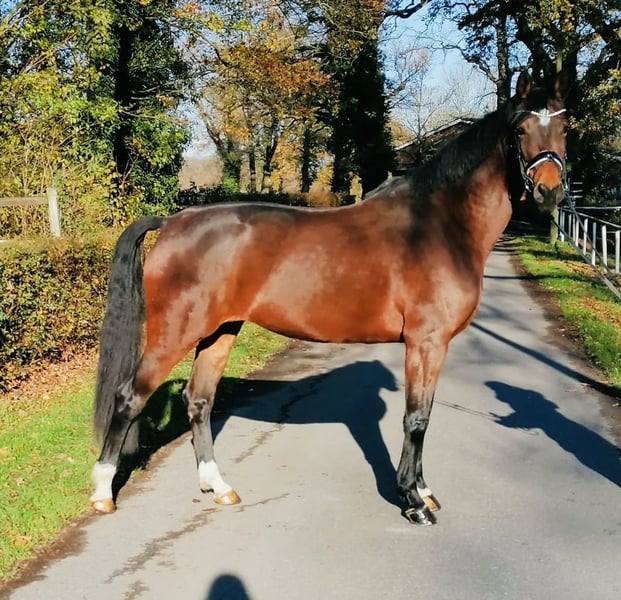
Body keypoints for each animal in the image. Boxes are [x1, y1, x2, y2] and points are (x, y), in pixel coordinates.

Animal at [90, 71, 569, 525]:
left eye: (565, 126)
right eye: (521, 129)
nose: (550, 191)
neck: (439, 226)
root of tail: (173, 221)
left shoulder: (434, 346)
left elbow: (426, 414)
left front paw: (423, 490)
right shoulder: (426, 342)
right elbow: (416, 418)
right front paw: (413, 502)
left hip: (220, 331)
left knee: (199, 401)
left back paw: (219, 486)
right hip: (175, 334)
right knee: (129, 397)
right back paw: (102, 493)